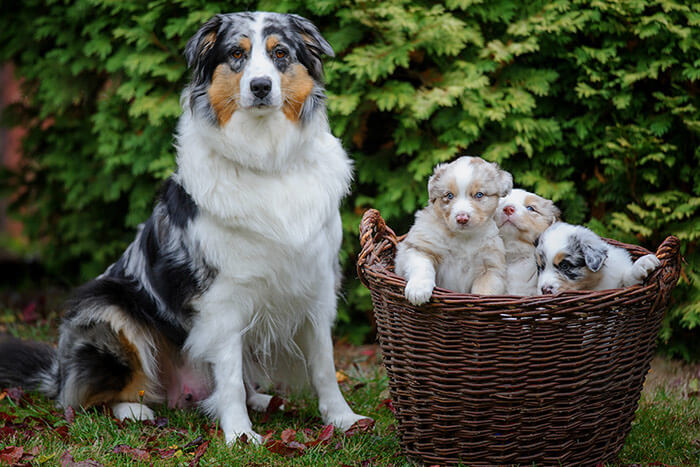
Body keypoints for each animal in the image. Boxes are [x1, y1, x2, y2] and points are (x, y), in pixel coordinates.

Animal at [0, 10, 370, 442]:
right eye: (236, 55)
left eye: (280, 53)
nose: (260, 86)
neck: (268, 160)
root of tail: (57, 374)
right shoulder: (223, 297)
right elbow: (229, 375)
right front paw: (240, 437)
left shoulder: (316, 285)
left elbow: (324, 366)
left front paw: (343, 419)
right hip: (106, 306)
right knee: (86, 399)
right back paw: (134, 409)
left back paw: (262, 400)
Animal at [394, 155, 516, 306]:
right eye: (449, 195)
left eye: (479, 194)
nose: (462, 218)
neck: (464, 237)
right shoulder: (419, 246)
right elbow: (421, 265)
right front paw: (418, 290)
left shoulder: (491, 268)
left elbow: (485, 290)